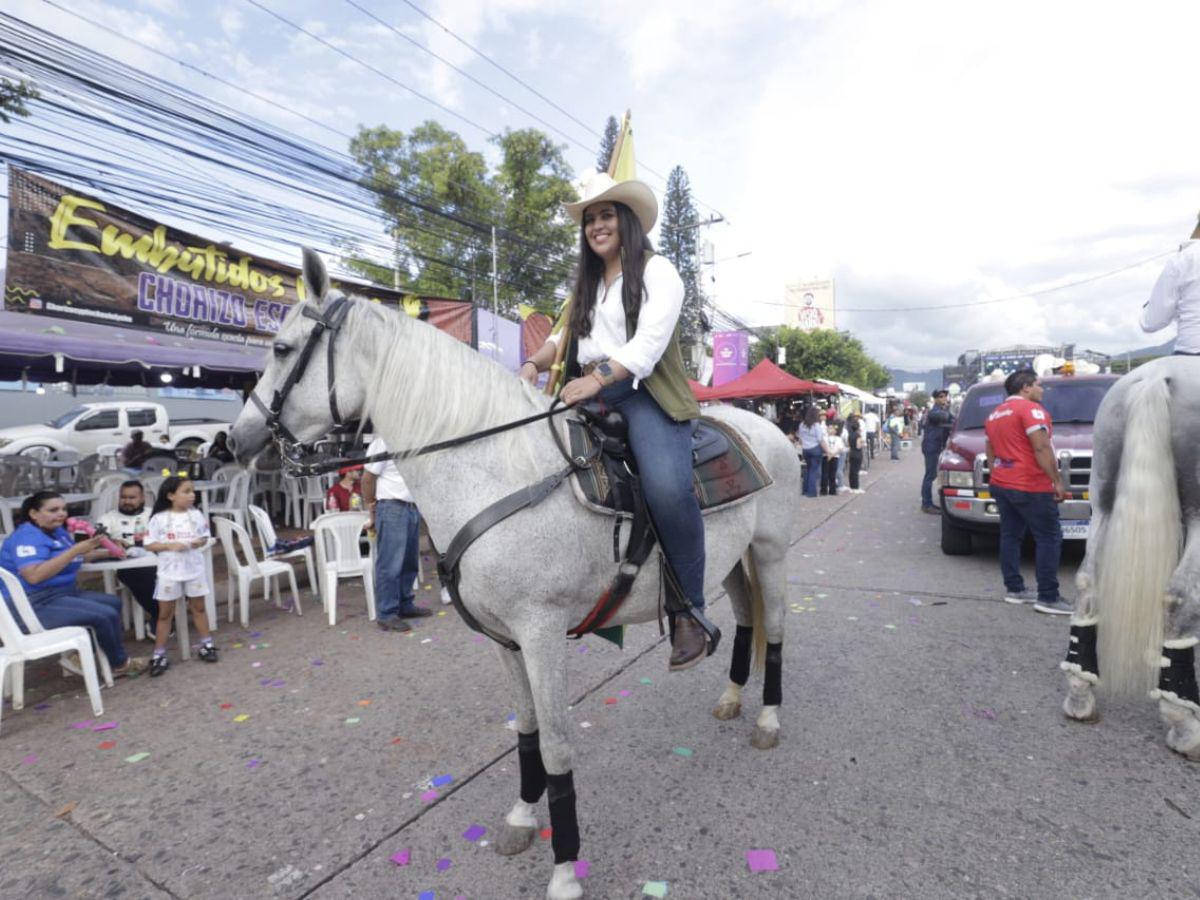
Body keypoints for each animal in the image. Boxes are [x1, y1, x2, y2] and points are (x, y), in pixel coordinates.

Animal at [230, 248, 801, 900]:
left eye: (281, 348)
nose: (235, 441)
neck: (496, 471)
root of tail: (764, 430)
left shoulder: (541, 631)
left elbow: (555, 744)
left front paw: (565, 870)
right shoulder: (504, 638)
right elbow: (525, 731)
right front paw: (524, 819)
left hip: (771, 553)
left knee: (775, 628)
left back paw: (767, 718)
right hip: (729, 560)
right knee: (743, 619)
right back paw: (731, 697)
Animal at [1060, 357, 1200, 763]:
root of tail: (1157, 376)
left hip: (1102, 494)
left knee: (1086, 582)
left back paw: (1080, 692)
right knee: (1182, 596)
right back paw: (1184, 724)